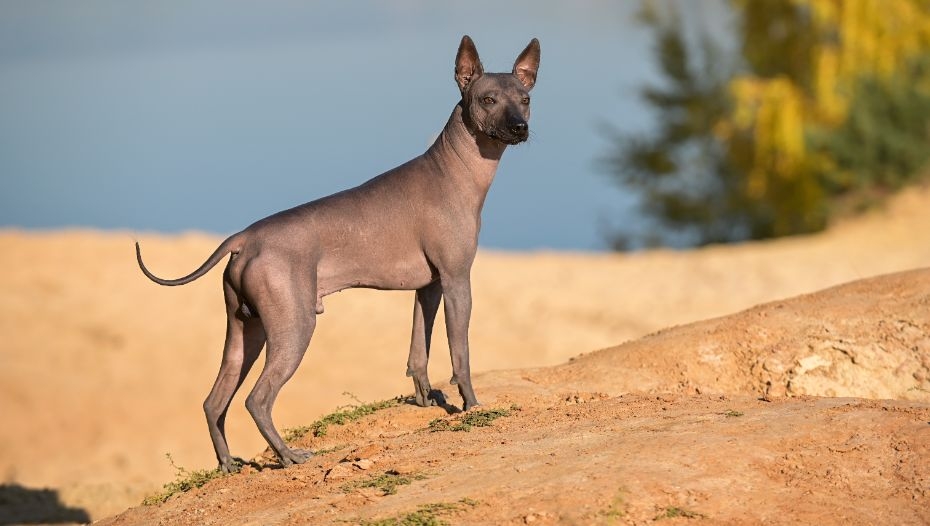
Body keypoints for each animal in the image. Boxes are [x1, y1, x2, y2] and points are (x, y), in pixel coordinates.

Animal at [135, 37, 540, 474]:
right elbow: (460, 353)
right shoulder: (456, 280)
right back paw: (288, 456)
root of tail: (245, 237)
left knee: (214, 401)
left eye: (525, 99)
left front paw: (424, 398)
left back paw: (228, 463)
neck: (454, 170)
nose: (520, 127)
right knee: (257, 399)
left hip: (245, 332)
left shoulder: (429, 287)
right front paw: (470, 404)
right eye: (488, 99)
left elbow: (418, 350)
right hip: (294, 327)